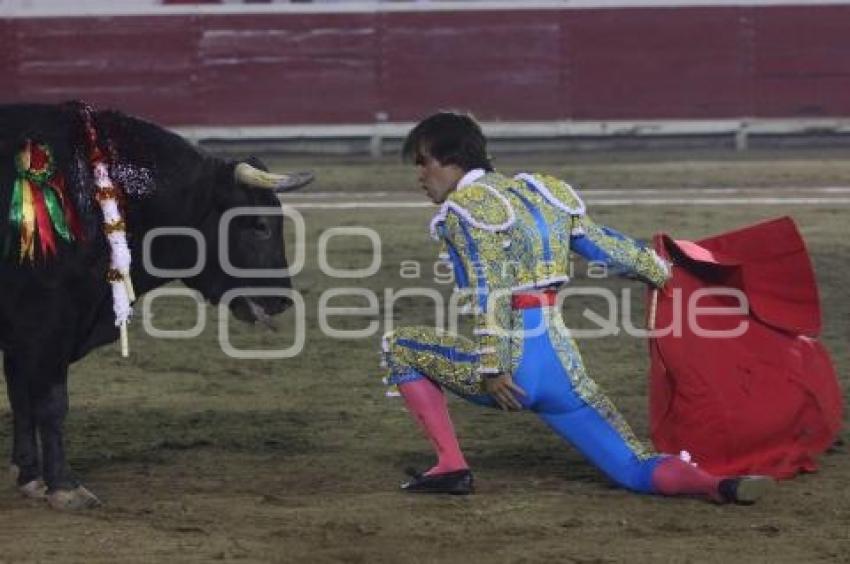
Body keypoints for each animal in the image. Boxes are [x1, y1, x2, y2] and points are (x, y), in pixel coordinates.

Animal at [0, 102, 312, 506]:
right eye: (258, 224)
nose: (281, 299)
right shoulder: (49, 320)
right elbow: (51, 402)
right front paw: (64, 487)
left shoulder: (22, 332)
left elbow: (21, 396)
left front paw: (28, 475)